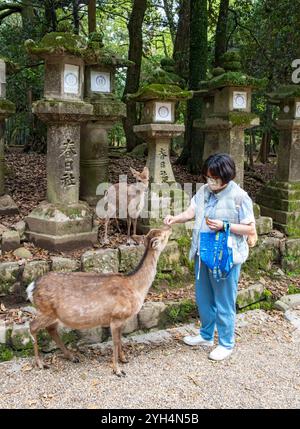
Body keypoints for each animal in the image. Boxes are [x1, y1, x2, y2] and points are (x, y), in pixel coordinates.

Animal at [26, 226, 171, 376]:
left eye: (157, 230)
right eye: (163, 234)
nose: (169, 227)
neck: (135, 287)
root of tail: (31, 287)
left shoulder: (122, 319)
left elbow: (120, 339)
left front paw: (124, 359)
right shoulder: (116, 316)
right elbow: (115, 342)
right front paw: (118, 370)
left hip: (53, 314)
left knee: (51, 329)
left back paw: (72, 357)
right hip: (45, 310)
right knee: (32, 326)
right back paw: (40, 363)